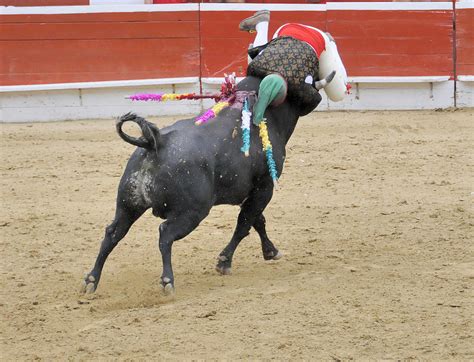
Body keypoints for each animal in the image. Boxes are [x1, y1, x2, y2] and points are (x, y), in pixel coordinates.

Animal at [81, 75, 316, 294]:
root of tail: (154, 143)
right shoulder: (264, 188)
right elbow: (245, 223)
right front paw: (224, 262)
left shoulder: (249, 193)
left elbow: (256, 221)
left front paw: (270, 251)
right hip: (193, 211)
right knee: (165, 234)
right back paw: (167, 281)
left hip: (128, 205)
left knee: (113, 233)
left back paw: (91, 280)